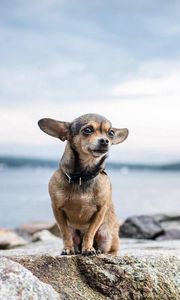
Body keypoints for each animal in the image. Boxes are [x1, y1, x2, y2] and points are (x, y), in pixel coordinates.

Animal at [38, 113, 129, 255]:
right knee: (74, 239)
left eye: (111, 133)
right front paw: (67, 248)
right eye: (88, 130)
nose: (105, 141)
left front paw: (88, 248)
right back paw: (76, 249)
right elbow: (65, 233)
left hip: (105, 234)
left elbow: (89, 233)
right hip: (76, 233)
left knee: (110, 249)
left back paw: (99, 251)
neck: (82, 176)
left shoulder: (100, 211)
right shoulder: (57, 209)